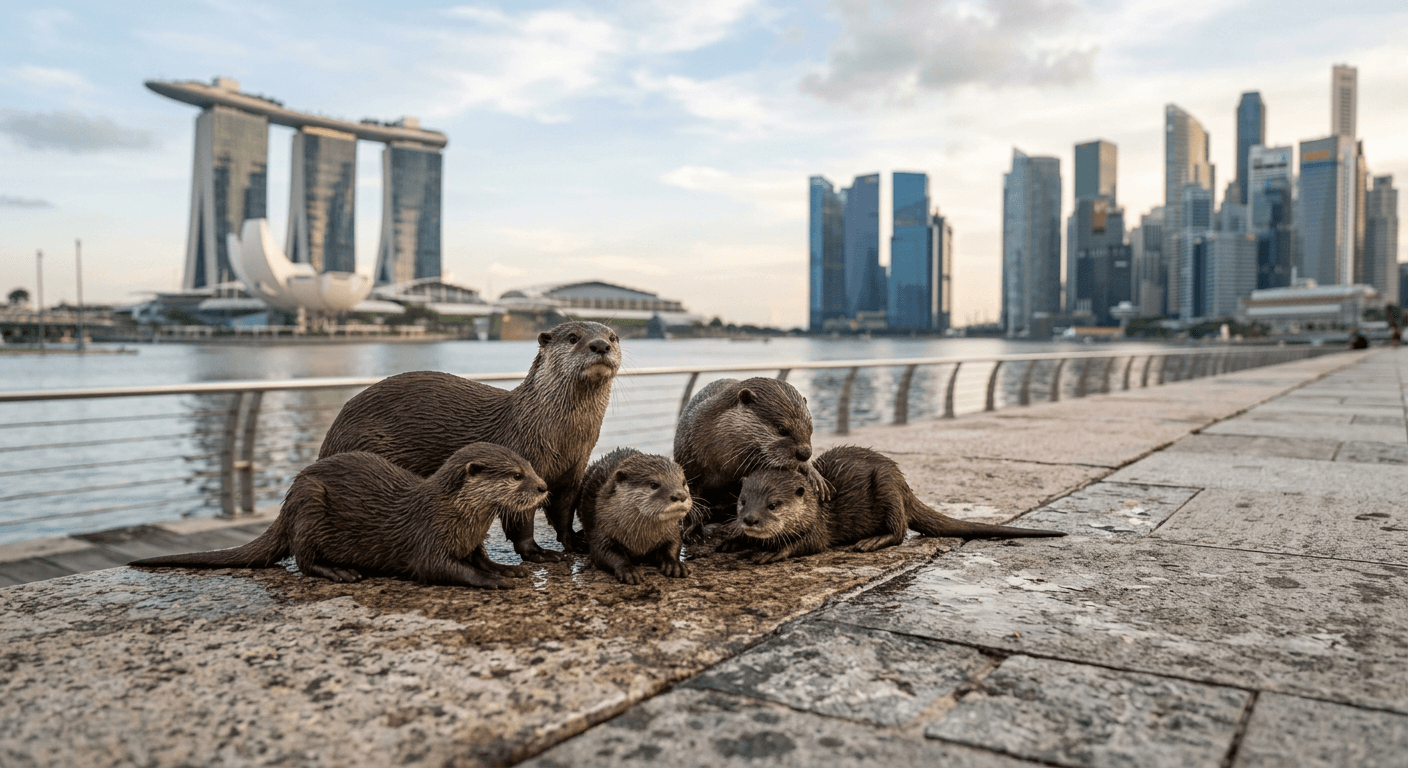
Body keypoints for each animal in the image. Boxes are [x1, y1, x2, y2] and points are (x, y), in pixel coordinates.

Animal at [130, 443, 548, 588]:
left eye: (530, 466)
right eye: (516, 476)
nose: (544, 486)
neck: (457, 517)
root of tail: (286, 504)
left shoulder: (473, 541)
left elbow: (481, 558)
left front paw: (505, 569)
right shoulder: (425, 539)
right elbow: (441, 568)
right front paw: (492, 580)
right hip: (310, 503)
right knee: (302, 558)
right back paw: (340, 572)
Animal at [318, 321, 621, 563]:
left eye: (613, 336)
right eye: (572, 337)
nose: (600, 345)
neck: (558, 439)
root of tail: (329, 440)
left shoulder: (573, 472)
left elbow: (563, 512)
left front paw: (575, 541)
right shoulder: (522, 465)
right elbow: (521, 519)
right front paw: (537, 552)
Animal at [577, 448, 692, 584]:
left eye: (683, 483)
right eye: (653, 484)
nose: (680, 495)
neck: (640, 541)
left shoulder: (671, 531)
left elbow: (674, 543)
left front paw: (674, 564)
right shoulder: (600, 526)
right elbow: (602, 552)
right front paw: (628, 570)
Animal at [673, 377, 829, 539]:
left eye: (811, 429)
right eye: (782, 429)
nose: (805, 453)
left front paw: (813, 475)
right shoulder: (688, 458)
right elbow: (690, 492)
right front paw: (694, 524)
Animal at [724, 445, 1065, 562]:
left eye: (774, 505)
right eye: (742, 502)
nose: (750, 520)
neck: (815, 505)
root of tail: (904, 484)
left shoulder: (819, 525)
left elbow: (811, 543)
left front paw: (774, 552)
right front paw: (733, 539)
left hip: (887, 488)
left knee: (900, 531)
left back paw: (870, 542)